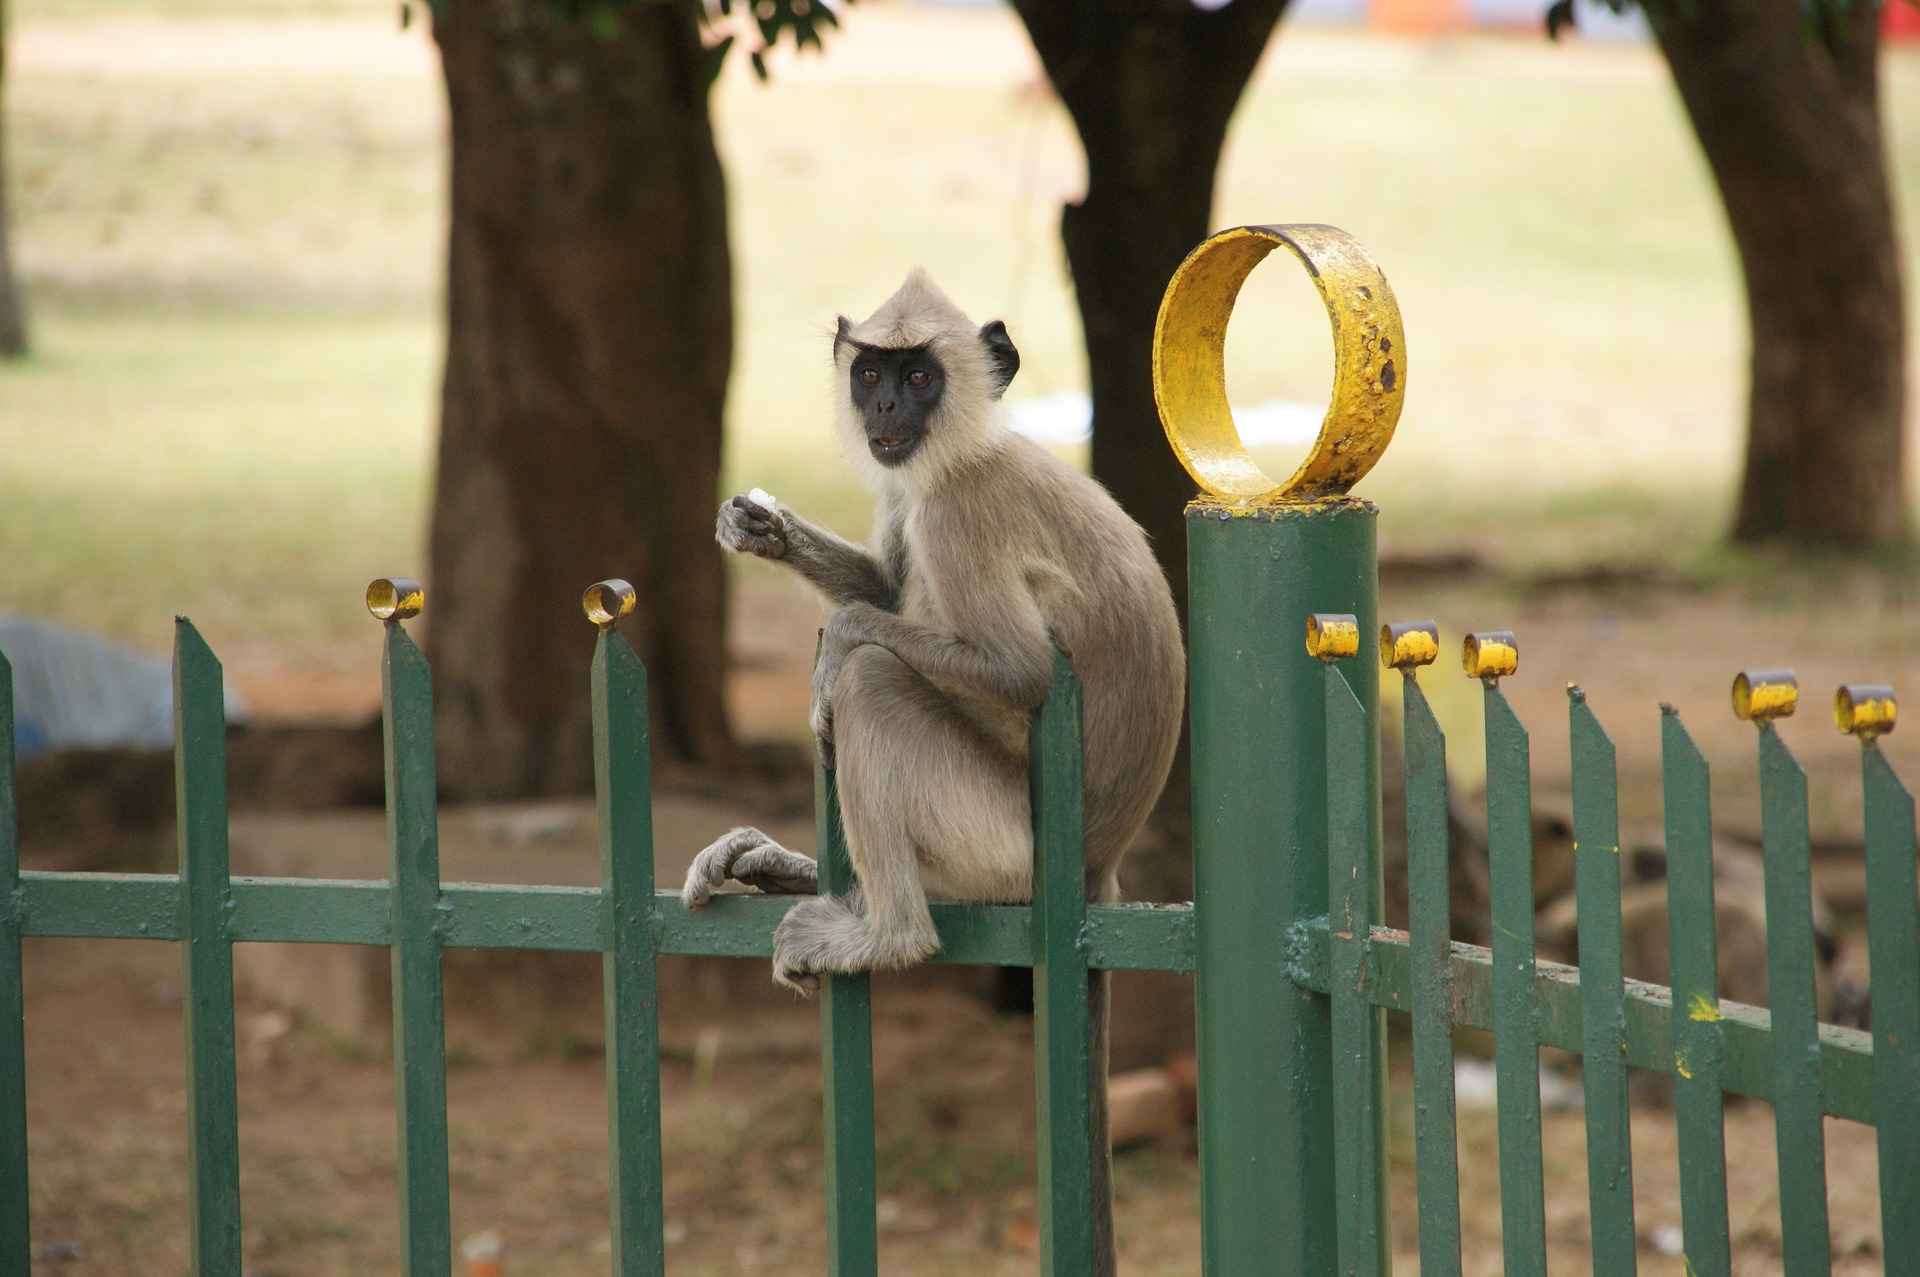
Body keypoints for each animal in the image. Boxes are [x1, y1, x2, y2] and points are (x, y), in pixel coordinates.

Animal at [675, 270, 1182, 1275]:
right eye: (871, 371)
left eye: (919, 376)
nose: (883, 409)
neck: (970, 449)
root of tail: (1100, 863)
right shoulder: (914, 496)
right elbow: (882, 581)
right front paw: (764, 529)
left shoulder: (958, 515)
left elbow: (1013, 670)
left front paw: (838, 642)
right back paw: (782, 867)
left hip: (1004, 840)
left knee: (873, 687)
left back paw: (885, 931)